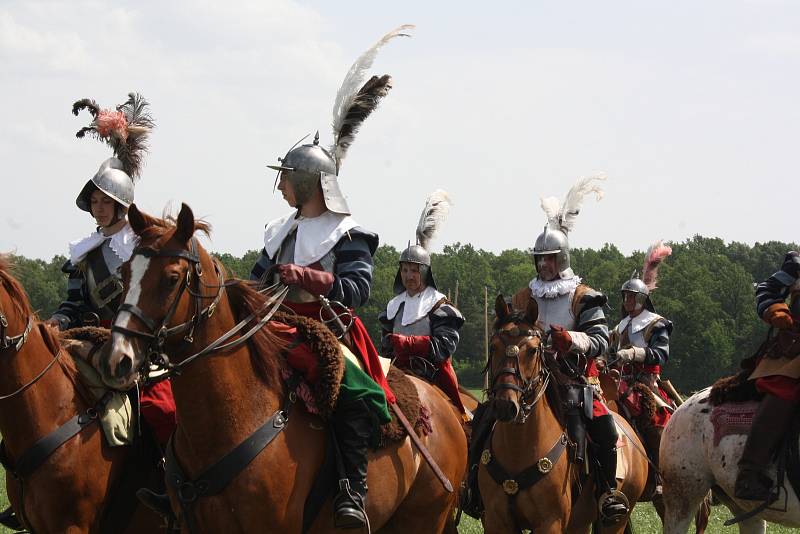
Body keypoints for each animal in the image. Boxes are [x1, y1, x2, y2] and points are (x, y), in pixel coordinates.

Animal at [98, 203, 468, 532]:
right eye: (125, 274)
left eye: (172, 278)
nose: (117, 358)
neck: (233, 416)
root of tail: (444, 408)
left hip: (424, 520)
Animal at [476, 298, 648, 534]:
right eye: (493, 347)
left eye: (532, 351)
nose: (505, 405)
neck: (518, 449)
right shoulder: (497, 521)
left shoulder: (550, 522)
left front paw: (563, 338)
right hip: (579, 521)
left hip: (615, 521)